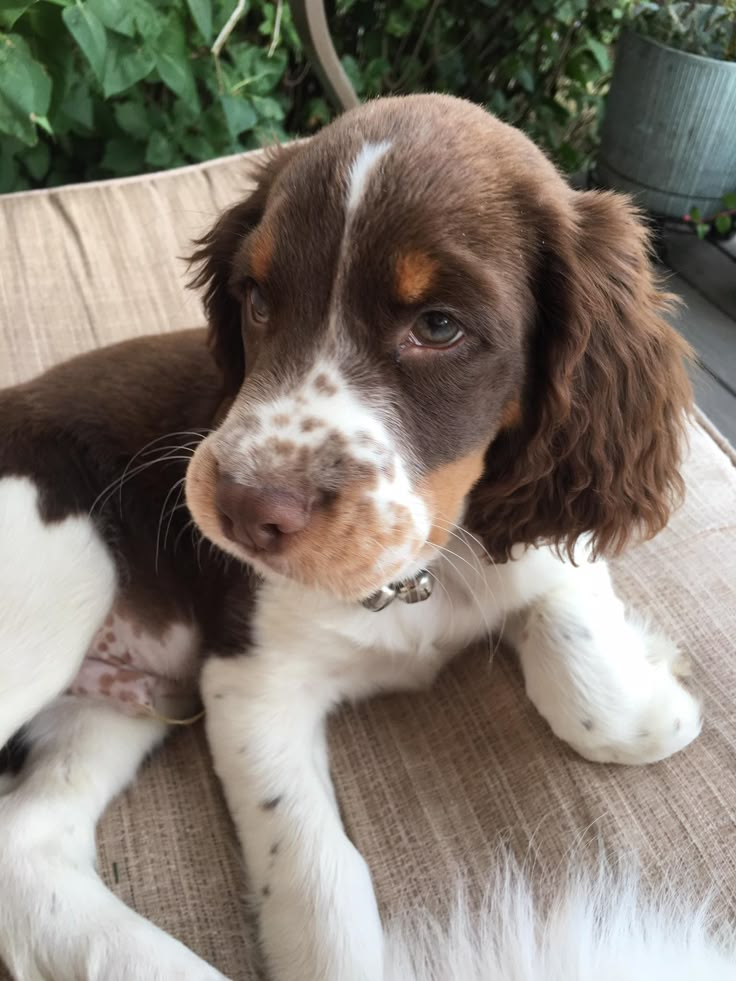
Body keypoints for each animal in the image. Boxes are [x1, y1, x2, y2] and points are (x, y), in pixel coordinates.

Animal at [0, 94, 700, 980]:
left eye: (438, 325)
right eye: (258, 299)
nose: (240, 510)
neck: (421, 570)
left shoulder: (535, 536)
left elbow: (606, 707)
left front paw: (661, 687)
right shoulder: (248, 679)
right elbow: (319, 882)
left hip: (125, 703)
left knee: (27, 844)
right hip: (68, 571)